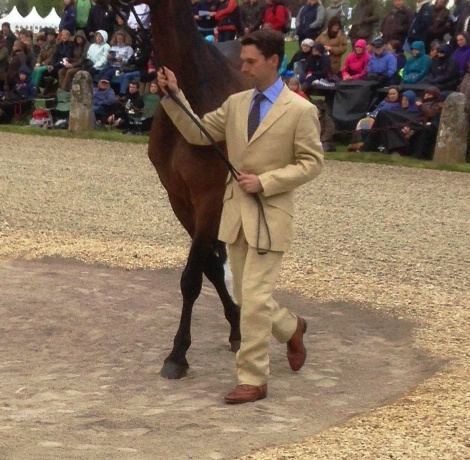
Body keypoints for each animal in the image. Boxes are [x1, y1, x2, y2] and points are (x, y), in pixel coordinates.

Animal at [105, 0, 253, 378]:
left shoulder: (210, 198)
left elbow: (192, 277)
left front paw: (178, 354)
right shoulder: (179, 199)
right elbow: (208, 268)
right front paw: (235, 325)